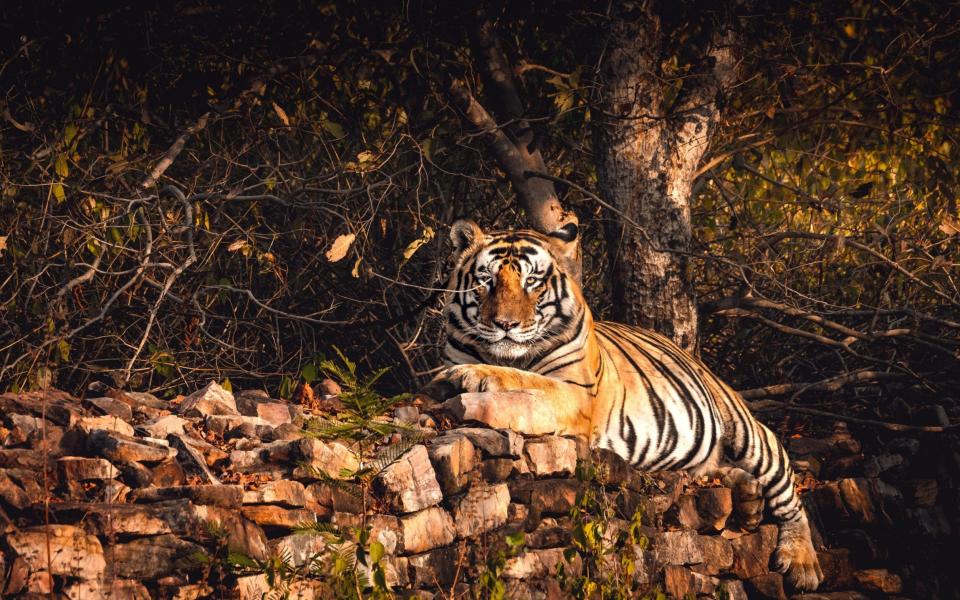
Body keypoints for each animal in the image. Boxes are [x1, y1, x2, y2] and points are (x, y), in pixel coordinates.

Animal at [424, 219, 820, 592]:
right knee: (711, 472)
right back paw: (748, 499)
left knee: (789, 495)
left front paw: (470, 375)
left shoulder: (575, 393)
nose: (505, 324)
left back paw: (802, 564)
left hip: (749, 434)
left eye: (532, 281)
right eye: (486, 281)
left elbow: (522, 379)